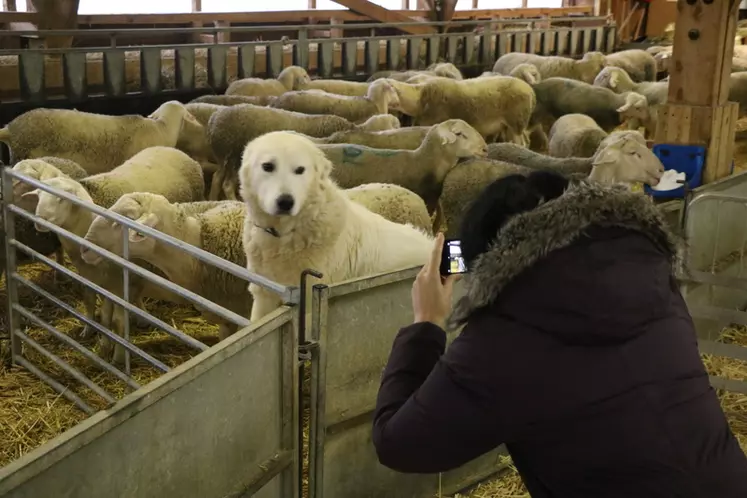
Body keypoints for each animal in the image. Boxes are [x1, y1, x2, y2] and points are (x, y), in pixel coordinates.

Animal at [205, 104, 404, 201]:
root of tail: (214, 119)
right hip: (232, 156)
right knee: (227, 184)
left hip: (224, 158)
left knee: (216, 178)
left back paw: (212, 200)